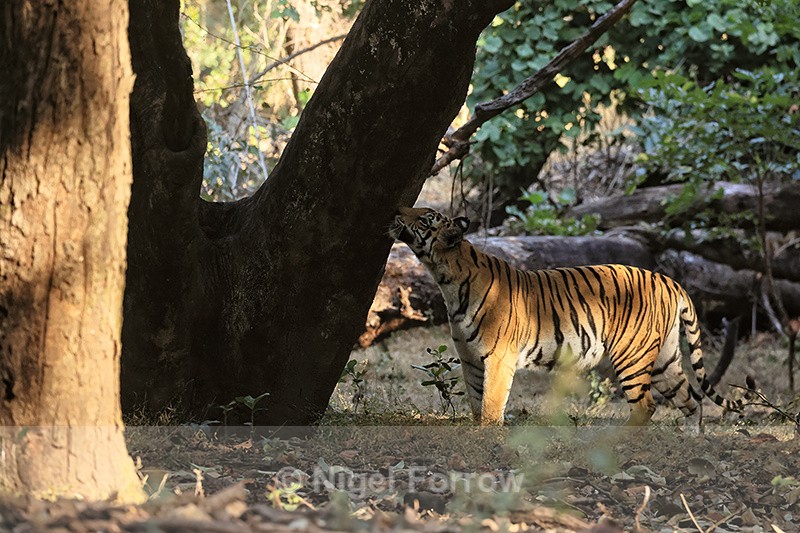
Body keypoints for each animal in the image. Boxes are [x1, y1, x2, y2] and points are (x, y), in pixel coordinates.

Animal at [389, 206, 743, 426]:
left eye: (425, 219)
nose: (396, 210)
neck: (447, 278)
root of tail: (667, 280)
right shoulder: (471, 358)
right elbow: (476, 405)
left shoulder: (498, 359)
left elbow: (490, 408)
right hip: (664, 360)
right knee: (691, 401)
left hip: (632, 354)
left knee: (646, 405)